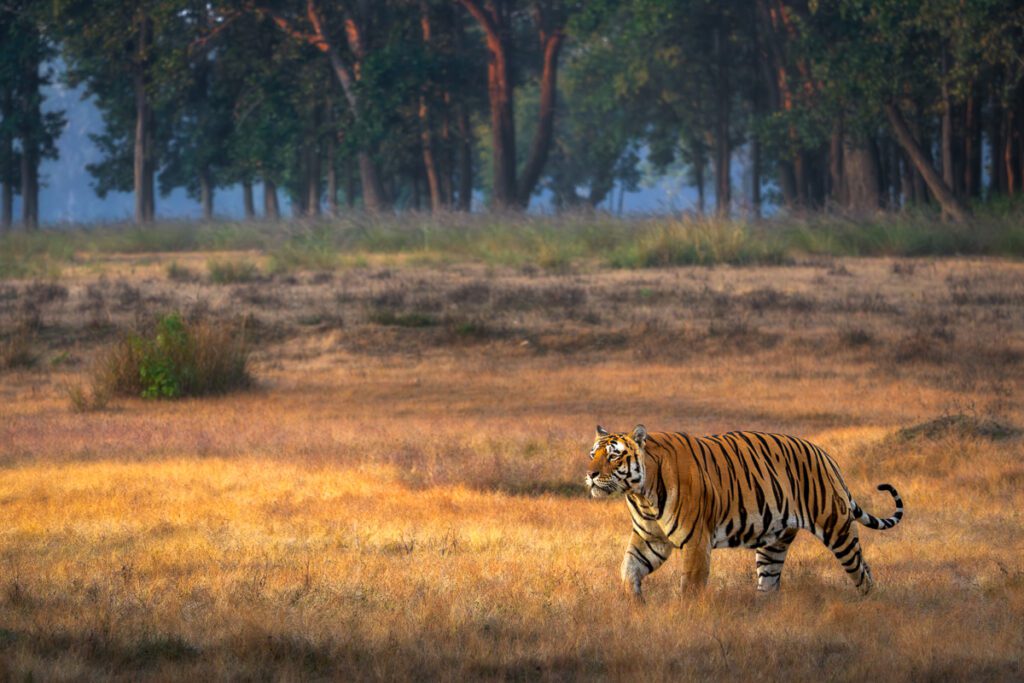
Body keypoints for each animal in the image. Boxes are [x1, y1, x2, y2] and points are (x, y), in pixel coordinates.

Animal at [585, 425, 903, 599]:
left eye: (614, 456)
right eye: (593, 454)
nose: (589, 474)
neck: (642, 494)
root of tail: (825, 455)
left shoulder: (696, 541)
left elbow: (690, 586)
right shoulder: (650, 539)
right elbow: (629, 570)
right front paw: (636, 604)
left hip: (837, 526)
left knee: (862, 571)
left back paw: (869, 604)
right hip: (774, 543)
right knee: (770, 583)